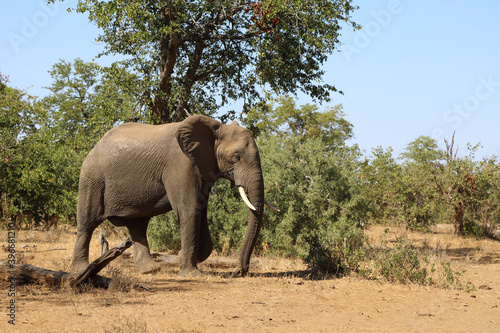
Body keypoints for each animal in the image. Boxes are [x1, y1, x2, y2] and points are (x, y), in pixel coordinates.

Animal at [70, 114, 278, 274]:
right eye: (236, 157)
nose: (239, 272)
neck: (214, 129)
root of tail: (95, 146)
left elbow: (200, 210)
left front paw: (183, 257)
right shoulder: (180, 165)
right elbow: (189, 209)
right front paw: (191, 273)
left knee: (138, 226)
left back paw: (149, 270)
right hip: (92, 178)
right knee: (87, 223)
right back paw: (80, 269)